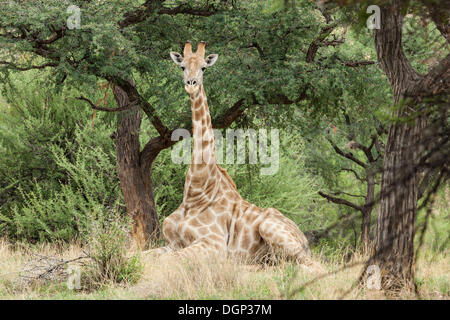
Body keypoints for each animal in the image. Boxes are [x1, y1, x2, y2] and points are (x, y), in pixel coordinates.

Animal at [150, 40, 310, 264]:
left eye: (204, 68)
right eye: (182, 66)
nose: (191, 84)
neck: (196, 192)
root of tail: (306, 242)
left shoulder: (214, 244)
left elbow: (166, 261)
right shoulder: (170, 242)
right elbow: (139, 255)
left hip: (271, 229)